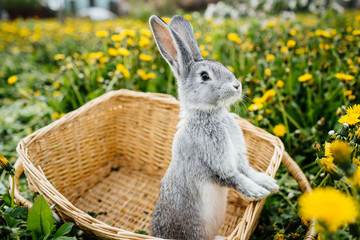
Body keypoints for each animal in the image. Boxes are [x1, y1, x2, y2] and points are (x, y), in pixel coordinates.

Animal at [149, 15, 278, 240]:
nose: (237, 85)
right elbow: (236, 179)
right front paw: (258, 192)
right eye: (204, 76)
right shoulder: (217, 165)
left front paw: (269, 183)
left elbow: (248, 170)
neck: (212, 115)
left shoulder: (238, 158)